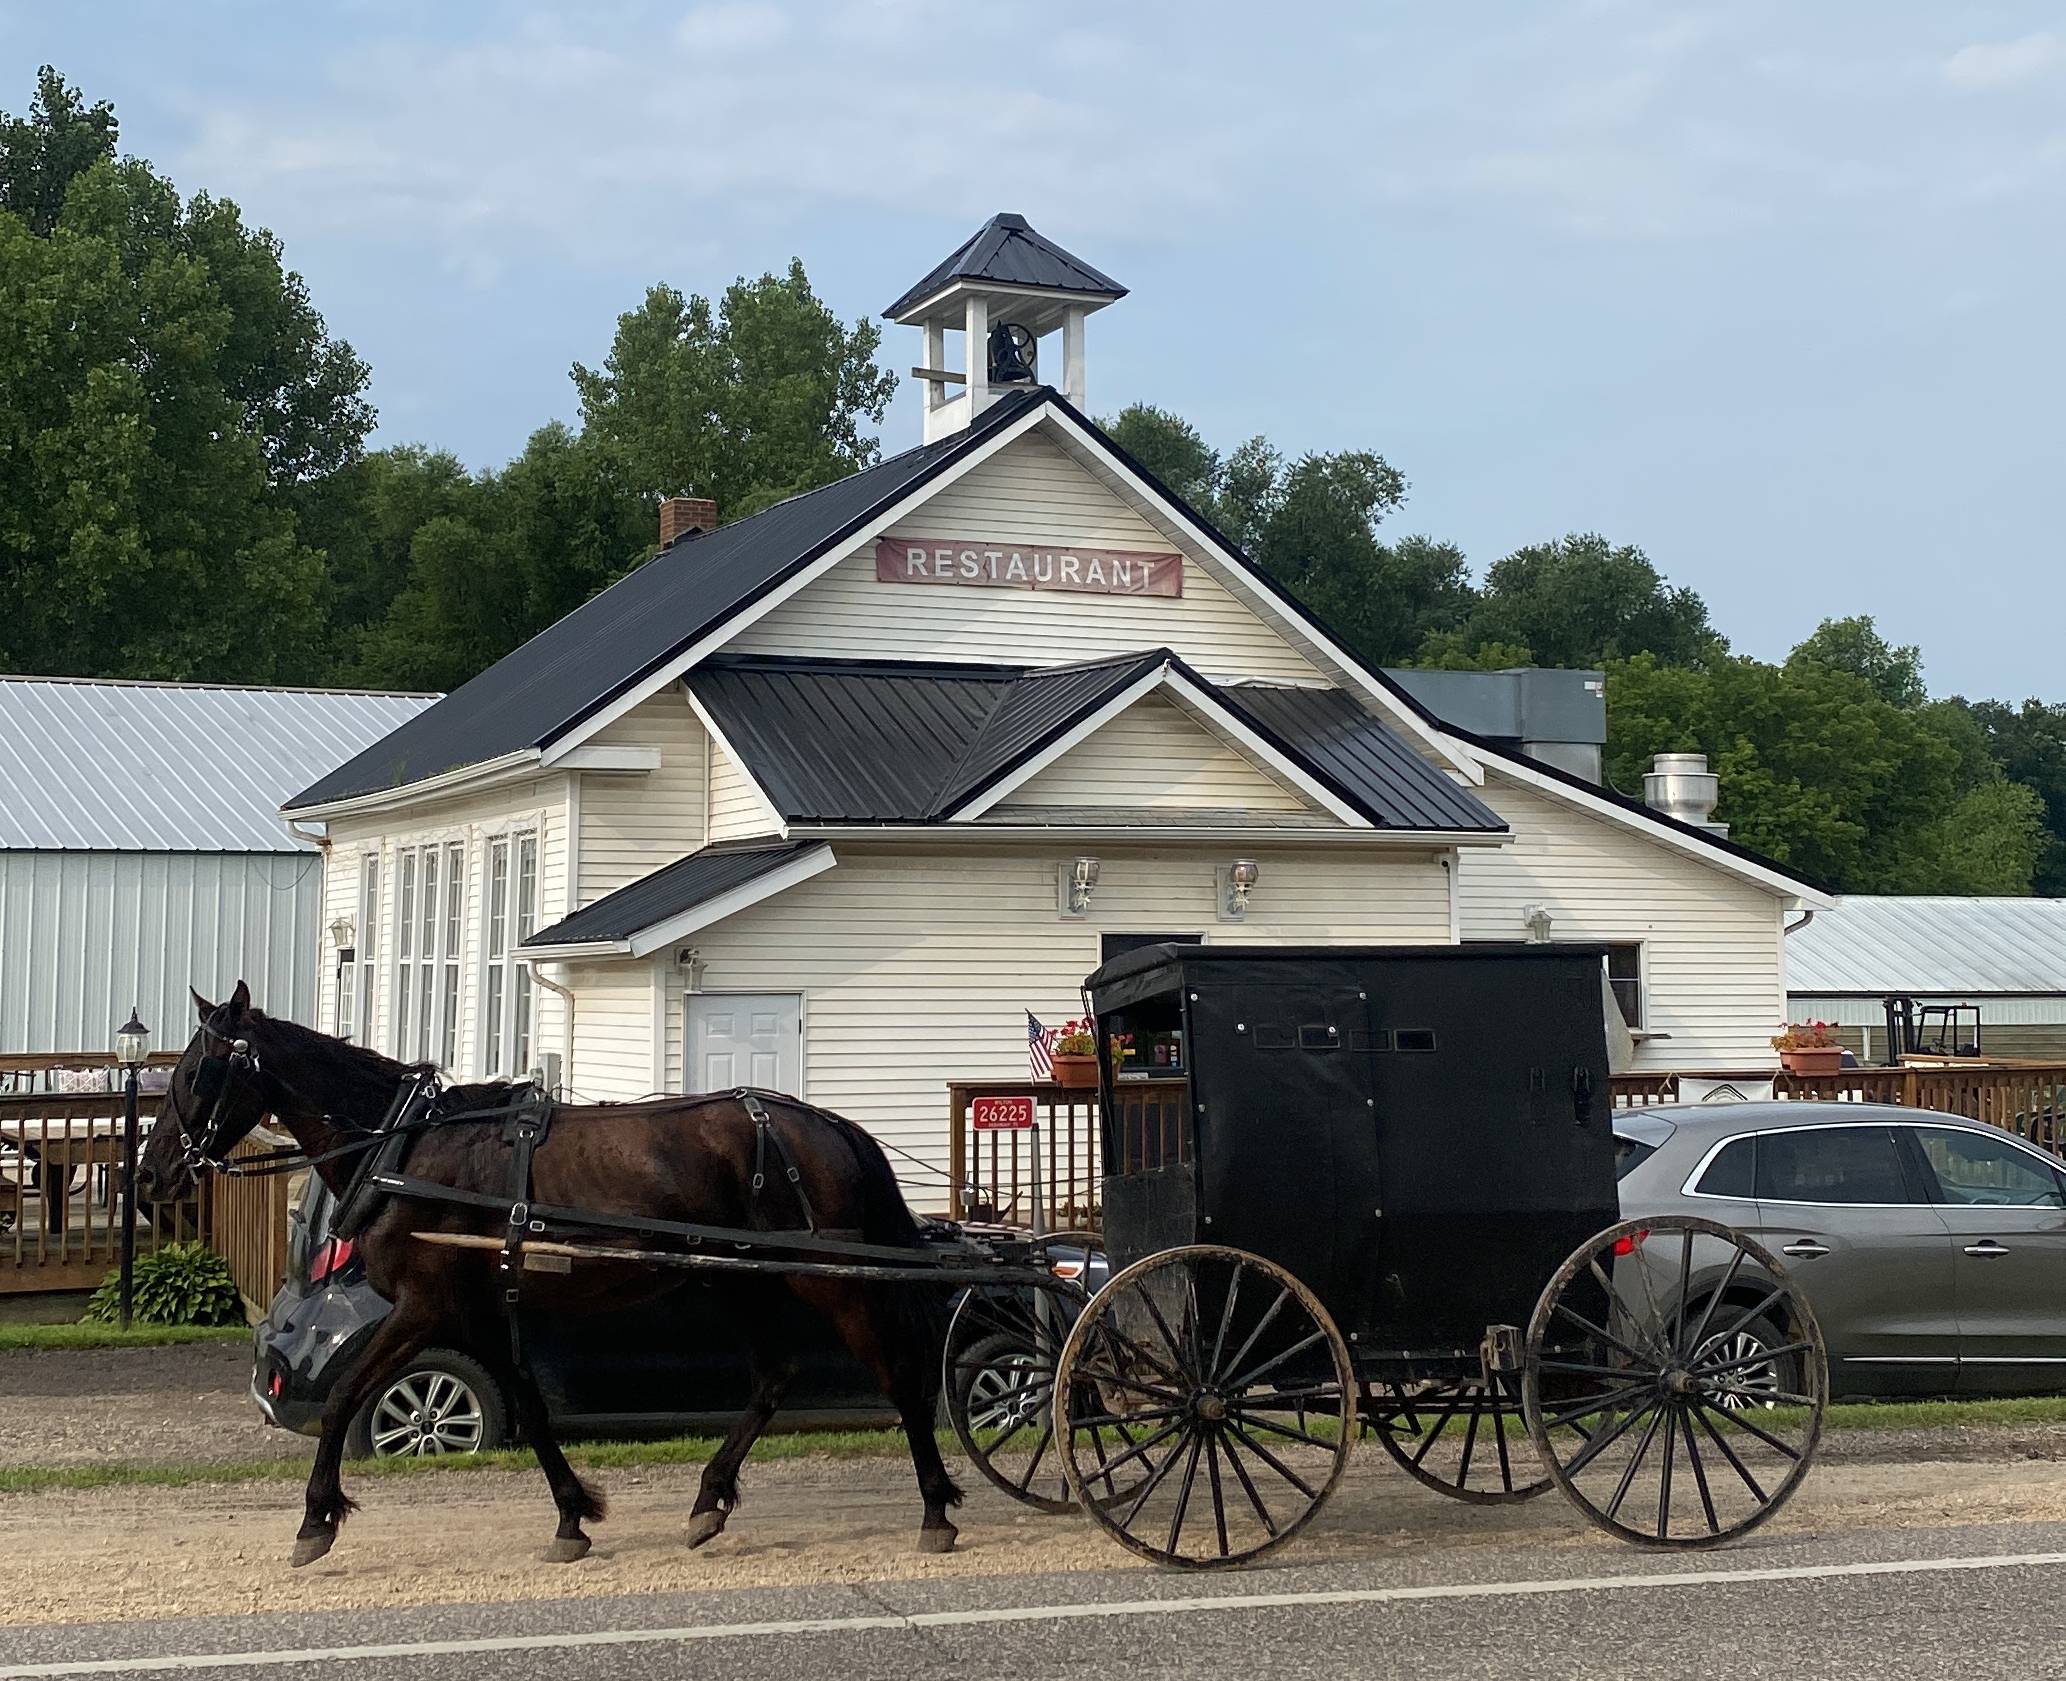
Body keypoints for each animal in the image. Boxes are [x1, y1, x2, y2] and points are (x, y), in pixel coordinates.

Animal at [141, 978, 962, 1569]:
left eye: (197, 1071)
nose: (151, 1175)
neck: (405, 1149)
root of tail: (825, 1124)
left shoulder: (425, 1306)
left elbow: (343, 1396)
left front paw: (316, 1518)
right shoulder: (477, 1310)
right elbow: (531, 1410)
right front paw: (573, 1514)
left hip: (829, 1276)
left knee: (897, 1374)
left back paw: (935, 1505)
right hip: (741, 1279)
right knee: (773, 1376)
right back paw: (709, 1499)